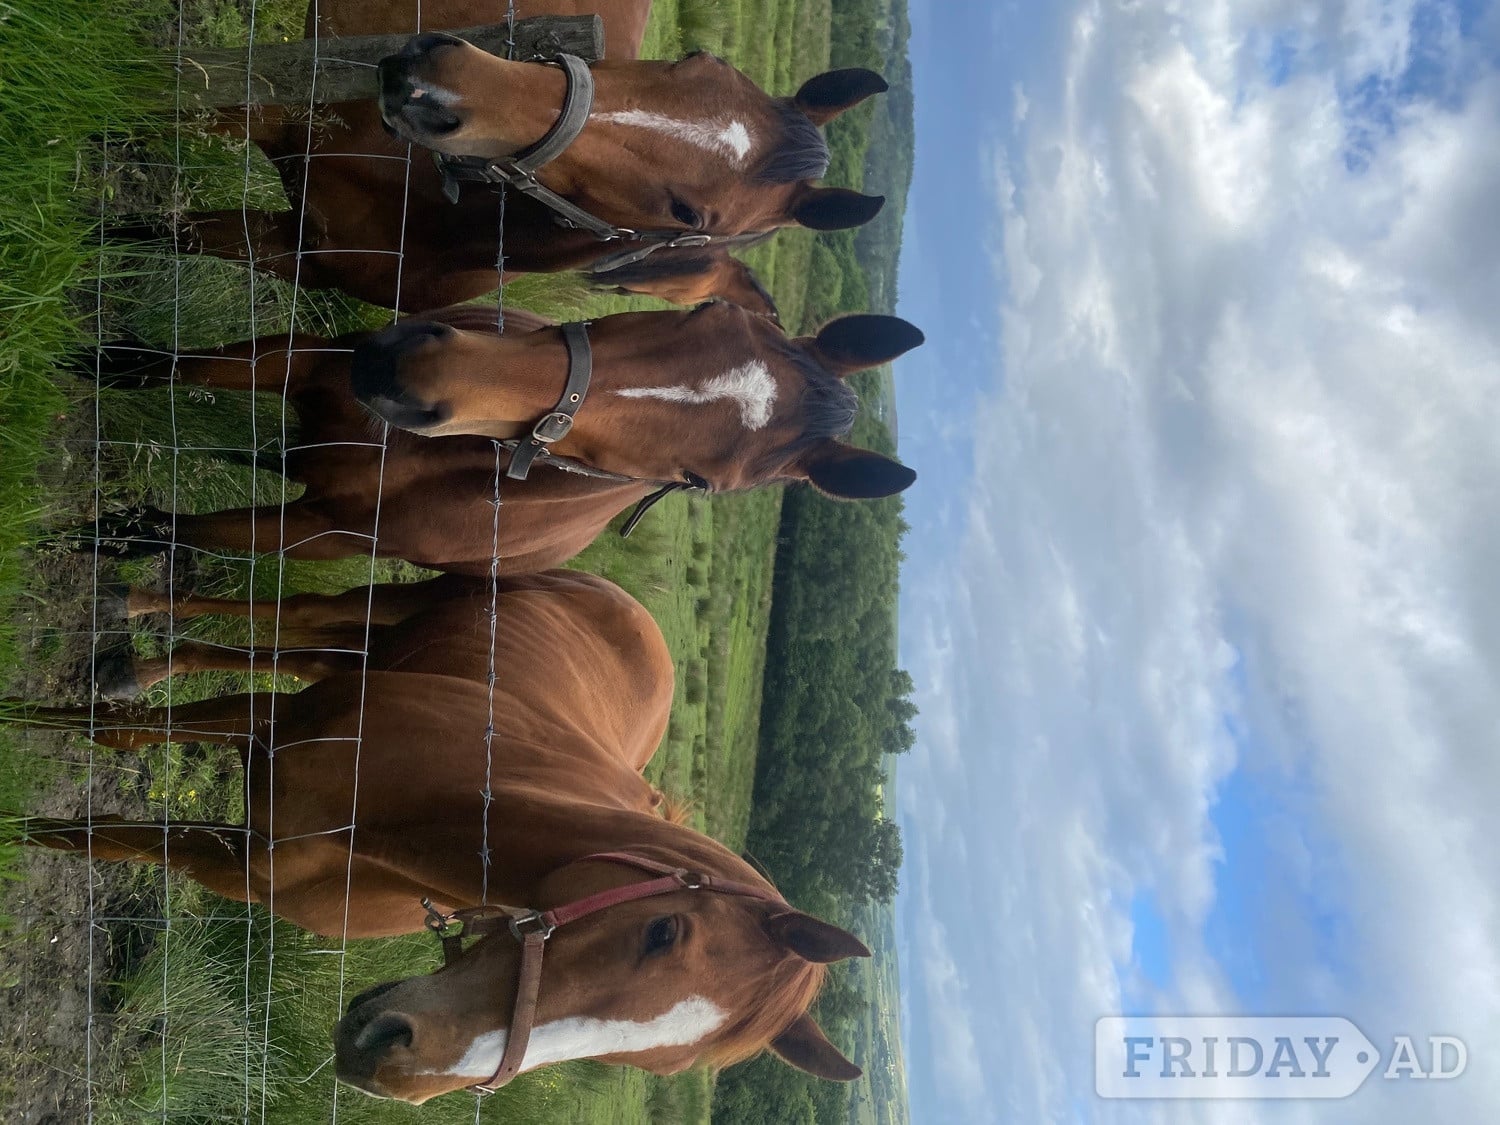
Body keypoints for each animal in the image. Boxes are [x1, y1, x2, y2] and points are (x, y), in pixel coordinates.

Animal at [13, 569, 870, 1100]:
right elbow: (116, 753)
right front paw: (27, 724)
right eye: (662, 930)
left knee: (289, 645)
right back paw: (133, 615)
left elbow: (94, 838)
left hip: (374, 645)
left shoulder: (240, 866)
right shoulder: (269, 725)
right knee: (282, 617)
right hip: (397, 603)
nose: (394, 1063)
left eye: (655, 1063)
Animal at [84, 300, 922, 574]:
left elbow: (183, 531)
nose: (400, 371)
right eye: (702, 310)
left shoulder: (320, 532)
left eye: (697, 482)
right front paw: (97, 358)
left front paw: (110, 539)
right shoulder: (311, 362)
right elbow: (178, 367)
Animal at [159, 0, 888, 313]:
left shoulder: (294, 253)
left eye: (688, 215)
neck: (437, 219)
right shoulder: (260, 105)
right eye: (694, 58)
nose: (440, 83)